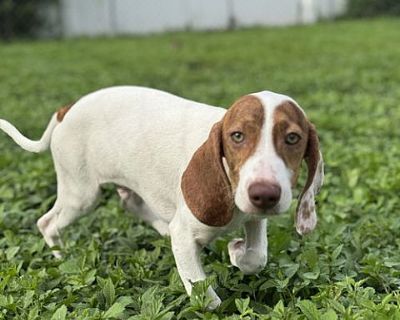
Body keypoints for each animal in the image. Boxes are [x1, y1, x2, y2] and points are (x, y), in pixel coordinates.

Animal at [0, 86, 322, 308]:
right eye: (237, 136)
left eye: (293, 138)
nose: (264, 195)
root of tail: (67, 110)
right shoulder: (186, 233)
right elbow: (208, 299)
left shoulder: (254, 217)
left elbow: (258, 256)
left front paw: (237, 251)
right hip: (81, 193)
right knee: (47, 223)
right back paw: (62, 257)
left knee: (130, 202)